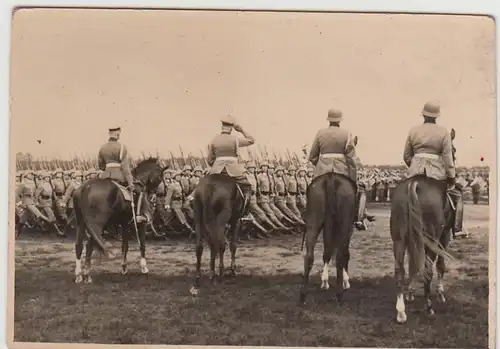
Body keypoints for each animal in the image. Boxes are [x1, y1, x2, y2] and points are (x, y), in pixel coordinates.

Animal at [298, 173, 358, 304]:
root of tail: (331, 177)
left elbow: (328, 253)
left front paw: (325, 281)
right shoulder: (348, 230)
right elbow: (344, 254)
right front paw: (345, 281)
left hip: (313, 223)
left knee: (309, 257)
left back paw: (303, 295)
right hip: (345, 226)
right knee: (340, 257)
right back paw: (339, 294)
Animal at [390, 174, 458, 324]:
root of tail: (415, 183)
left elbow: (413, 265)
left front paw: (410, 292)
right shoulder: (443, 237)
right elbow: (440, 265)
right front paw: (440, 293)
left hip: (399, 241)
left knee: (399, 270)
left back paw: (401, 312)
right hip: (432, 240)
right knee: (428, 271)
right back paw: (429, 308)